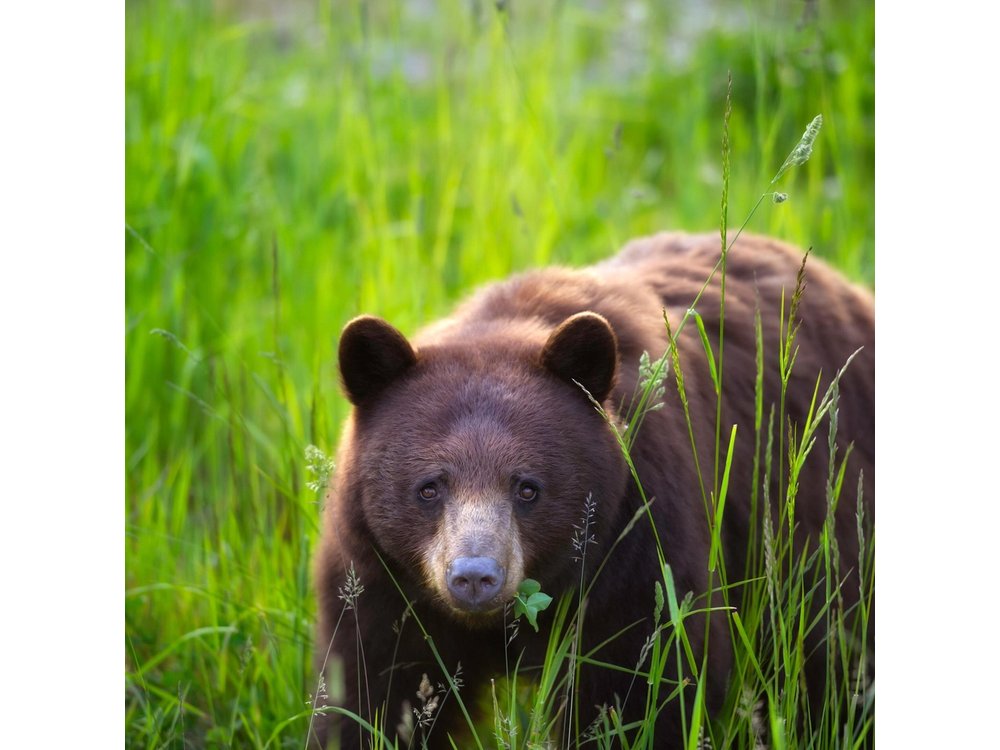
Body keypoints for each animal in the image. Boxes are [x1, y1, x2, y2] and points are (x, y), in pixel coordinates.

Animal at [311, 231, 874, 749]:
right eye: (429, 487)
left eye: (528, 488)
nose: (475, 577)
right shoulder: (382, 581)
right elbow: (374, 692)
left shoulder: (636, 545)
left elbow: (637, 687)